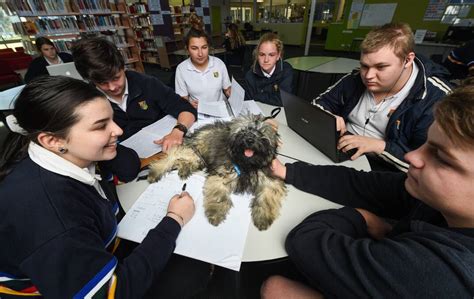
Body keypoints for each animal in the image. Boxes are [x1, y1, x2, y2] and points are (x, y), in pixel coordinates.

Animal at [148, 113, 286, 231]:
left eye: (260, 133)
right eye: (243, 130)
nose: (250, 140)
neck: (247, 164)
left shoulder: (271, 180)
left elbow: (268, 197)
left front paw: (263, 218)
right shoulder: (221, 175)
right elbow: (219, 195)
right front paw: (216, 214)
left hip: (199, 159)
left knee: (183, 160)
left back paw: (184, 169)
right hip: (194, 150)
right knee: (174, 153)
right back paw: (155, 171)